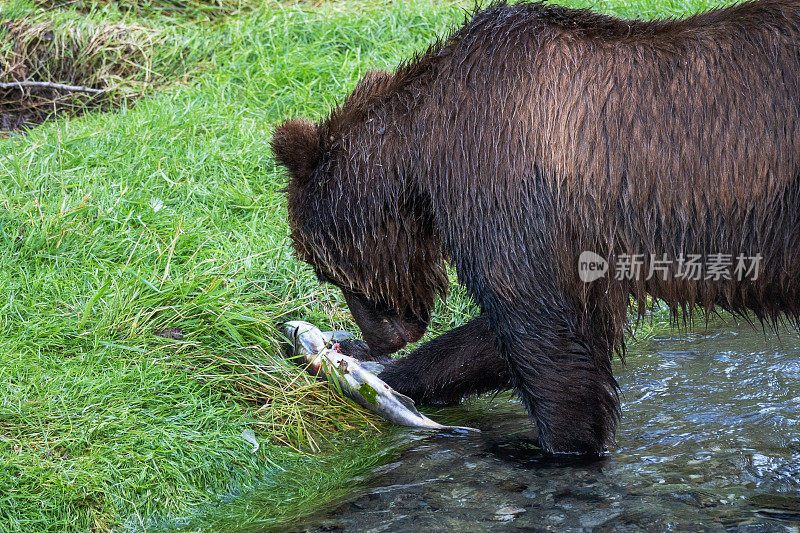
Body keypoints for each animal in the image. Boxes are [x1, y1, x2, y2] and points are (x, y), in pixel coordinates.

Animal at [272, 0, 800, 456]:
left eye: (324, 269)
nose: (378, 336)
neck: (420, 156)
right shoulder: (579, 248)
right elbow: (510, 336)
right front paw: (374, 370)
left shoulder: (505, 180)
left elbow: (543, 337)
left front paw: (560, 447)